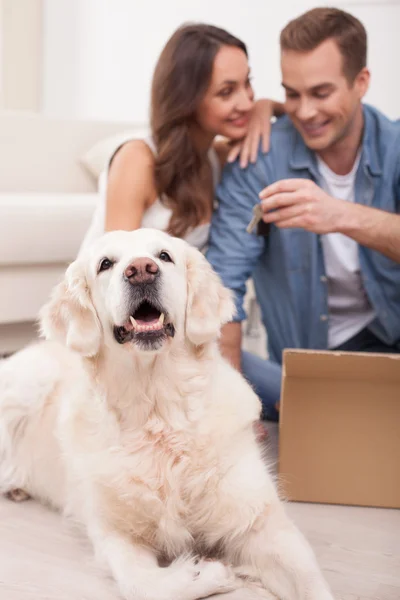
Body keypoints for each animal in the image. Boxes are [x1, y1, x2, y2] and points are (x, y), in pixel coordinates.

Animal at [0, 230, 332, 600]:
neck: (158, 408)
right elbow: (145, 585)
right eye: (105, 264)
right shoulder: (114, 533)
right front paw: (207, 572)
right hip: (30, 381)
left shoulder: (262, 523)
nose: (141, 271)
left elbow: (312, 583)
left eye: (163, 256)